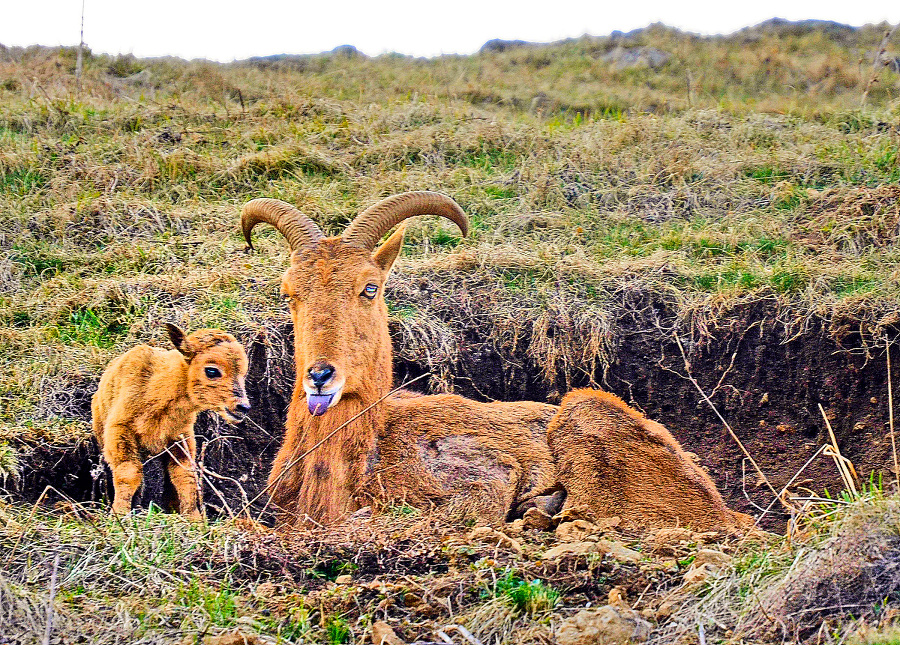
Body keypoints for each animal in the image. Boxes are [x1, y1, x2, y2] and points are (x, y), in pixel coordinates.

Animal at [91, 322, 250, 520]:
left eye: (243, 373)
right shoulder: (120, 430)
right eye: (212, 370)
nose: (243, 407)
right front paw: (119, 514)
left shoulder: (180, 439)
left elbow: (184, 477)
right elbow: (129, 472)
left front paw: (194, 518)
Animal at [241, 194, 752, 532]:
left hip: (584, 411)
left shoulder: (482, 476)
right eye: (289, 292)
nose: (320, 376)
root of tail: (718, 503)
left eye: (370, 287)